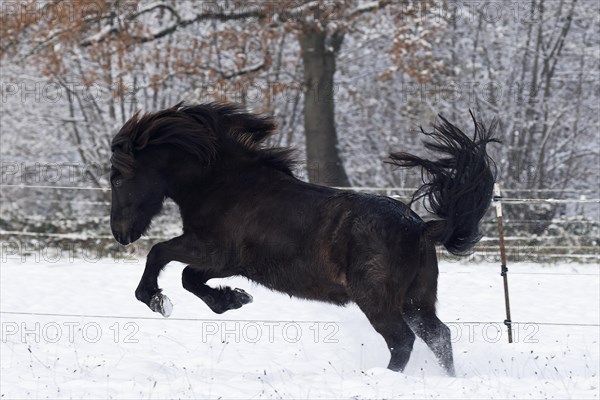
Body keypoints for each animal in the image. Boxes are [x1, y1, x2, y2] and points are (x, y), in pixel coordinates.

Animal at [110, 102, 500, 376]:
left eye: (117, 177)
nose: (120, 233)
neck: (225, 186)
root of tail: (420, 228)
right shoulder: (227, 263)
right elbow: (189, 277)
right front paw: (233, 298)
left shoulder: (212, 251)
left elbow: (162, 256)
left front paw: (158, 301)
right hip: (416, 300)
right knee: (439, 336)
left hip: (378, 299)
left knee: (402, 341)